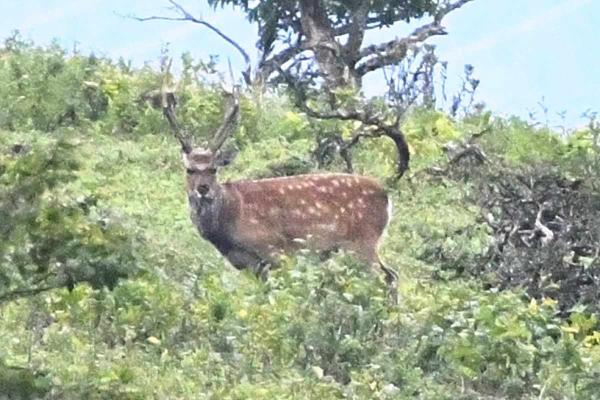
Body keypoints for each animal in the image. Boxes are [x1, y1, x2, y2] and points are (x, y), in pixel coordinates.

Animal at [162, 81, 400, 300]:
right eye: (189, 169)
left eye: (213, 169)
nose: (203, 188)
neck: (231, 217)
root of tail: (386, 195)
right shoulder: (247, 264)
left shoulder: (276, 249)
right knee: (392, 274)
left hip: (362, 241)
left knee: (383, 277)